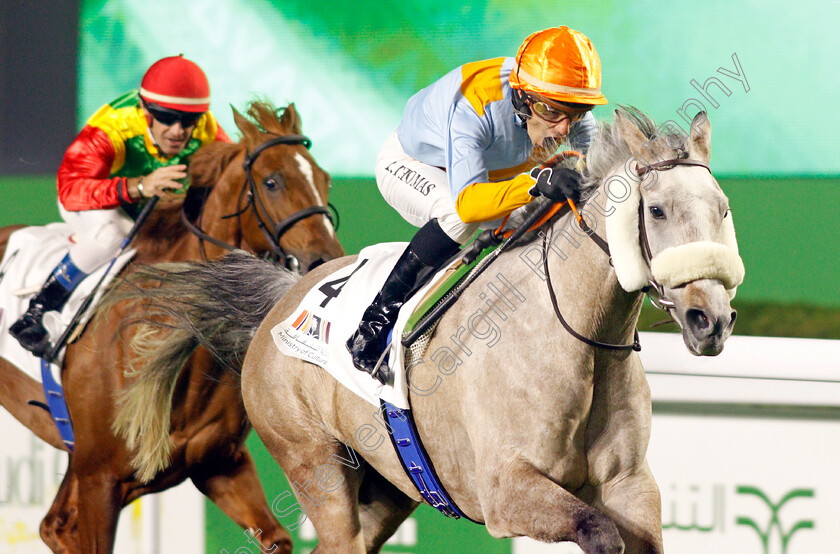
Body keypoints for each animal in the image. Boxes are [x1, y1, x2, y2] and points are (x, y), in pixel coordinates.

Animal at [0, 101, 344, 548]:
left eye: (324, 179)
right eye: (272, 182)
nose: (326, 261)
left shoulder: (219, 465)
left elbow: (277, 539)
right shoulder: (99, 479)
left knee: (52, 525)